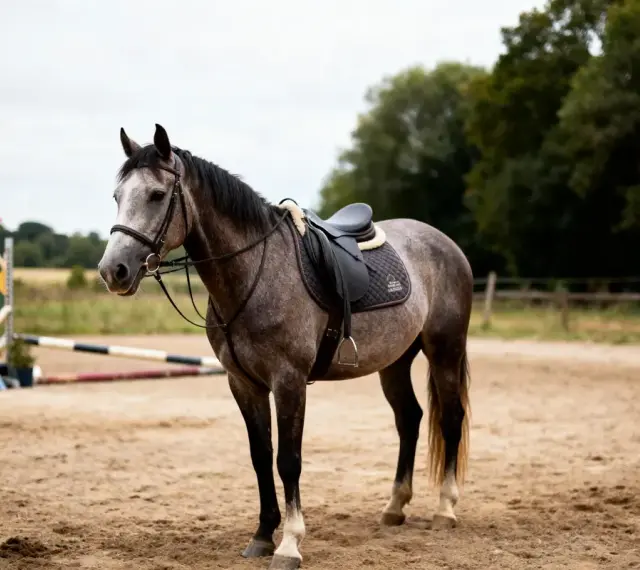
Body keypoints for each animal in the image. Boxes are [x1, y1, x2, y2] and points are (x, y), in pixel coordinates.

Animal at [98, 124, 473, 570]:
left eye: (156, 195)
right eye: (117, 197)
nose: (113, 271)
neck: (254, 274)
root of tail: (444, 242)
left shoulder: (288, 381)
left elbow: (288, 461)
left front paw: (290, 543)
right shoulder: (243, 383)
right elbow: (261, 457)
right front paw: (262, 535)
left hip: (445, 350)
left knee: (449, 418)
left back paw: (446, 509)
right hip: (395, 361)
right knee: (409, 419)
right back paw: (395, 507)